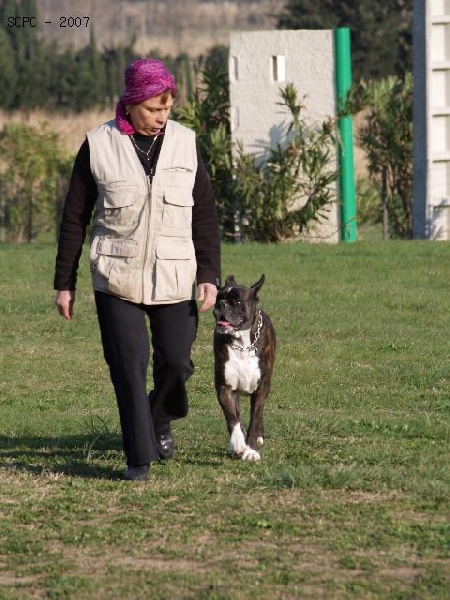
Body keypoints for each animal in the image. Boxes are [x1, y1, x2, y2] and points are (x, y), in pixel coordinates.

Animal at [214, 274, 276, 462]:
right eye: (218, 298)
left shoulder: (261, 388)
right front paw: (239, 444)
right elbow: (232, 418)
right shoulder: (225, 388)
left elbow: (255, 417)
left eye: (237, 301)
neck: (242, 343)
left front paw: (251, 450)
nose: (221, 304)